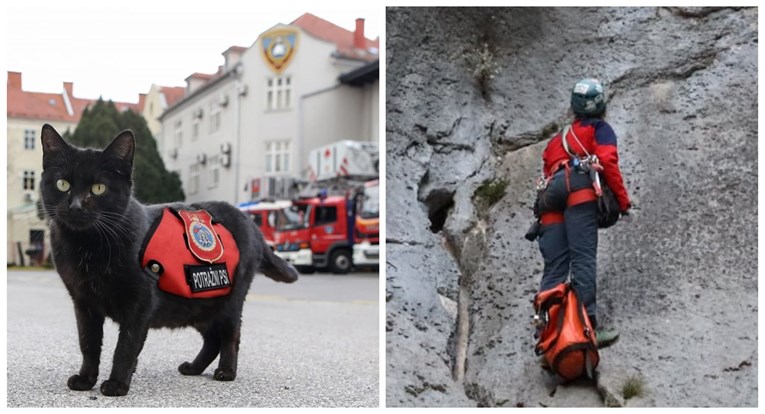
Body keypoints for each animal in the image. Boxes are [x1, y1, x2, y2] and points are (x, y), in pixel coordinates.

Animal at [40, 124, 298, 396]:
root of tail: (251, 223)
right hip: (197, 304)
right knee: (212, 340)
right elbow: (88, 344)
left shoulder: (140, 304)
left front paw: (117, 384)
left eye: (99, 188)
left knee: (230, 336)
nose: (76, 206)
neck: (87, 248)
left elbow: (125, 347)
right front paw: (86, 379)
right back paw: (193, 368)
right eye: (62, 184)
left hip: (228, 300)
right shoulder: (84, 303)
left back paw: (226, 371)